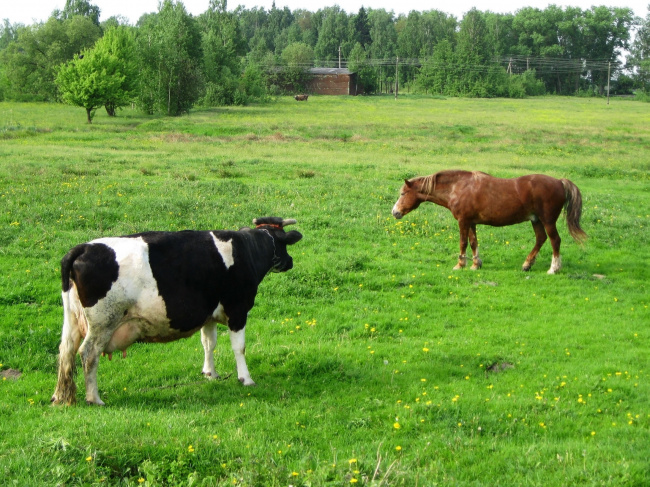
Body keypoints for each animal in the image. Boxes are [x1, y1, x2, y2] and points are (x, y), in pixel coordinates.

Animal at [51, 219, 302, 406]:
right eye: (284, 245)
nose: (290, 261)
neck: (247, 249)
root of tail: (83, 248)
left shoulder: (208, 314)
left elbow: (208, 343)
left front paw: (210, 373)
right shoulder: (238, 309)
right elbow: (239, 347)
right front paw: (246, 378)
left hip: (73, 322)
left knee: (66, 352)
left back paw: (61, 396)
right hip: (103, 323)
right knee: (88, 354)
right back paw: (94, 398)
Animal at [392, 171, 584, 274]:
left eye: (403, 193)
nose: (395, 212)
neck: (459, 187)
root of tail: (559, 181)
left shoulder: (463, 221)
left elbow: (463, 243)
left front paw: (460, 264)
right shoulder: (471, 222)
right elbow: (473, 242)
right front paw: (476, 264)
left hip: (547, 220)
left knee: (554, 240)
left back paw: (553, 268)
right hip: (535, 220)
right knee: (541, 239)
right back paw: (527, 264)